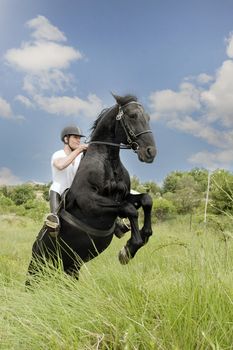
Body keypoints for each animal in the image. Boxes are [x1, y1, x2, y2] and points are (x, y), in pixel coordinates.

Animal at [26, 93, 156, 282]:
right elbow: (130, 209)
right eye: (132, 116)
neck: (108, 161)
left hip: (72, 265)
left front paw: (142, 237)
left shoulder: (123, 196)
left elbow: (146, 200)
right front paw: (129, 249)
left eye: (148, 118)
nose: (150, 152)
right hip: (38, 266)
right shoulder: (91, 203)